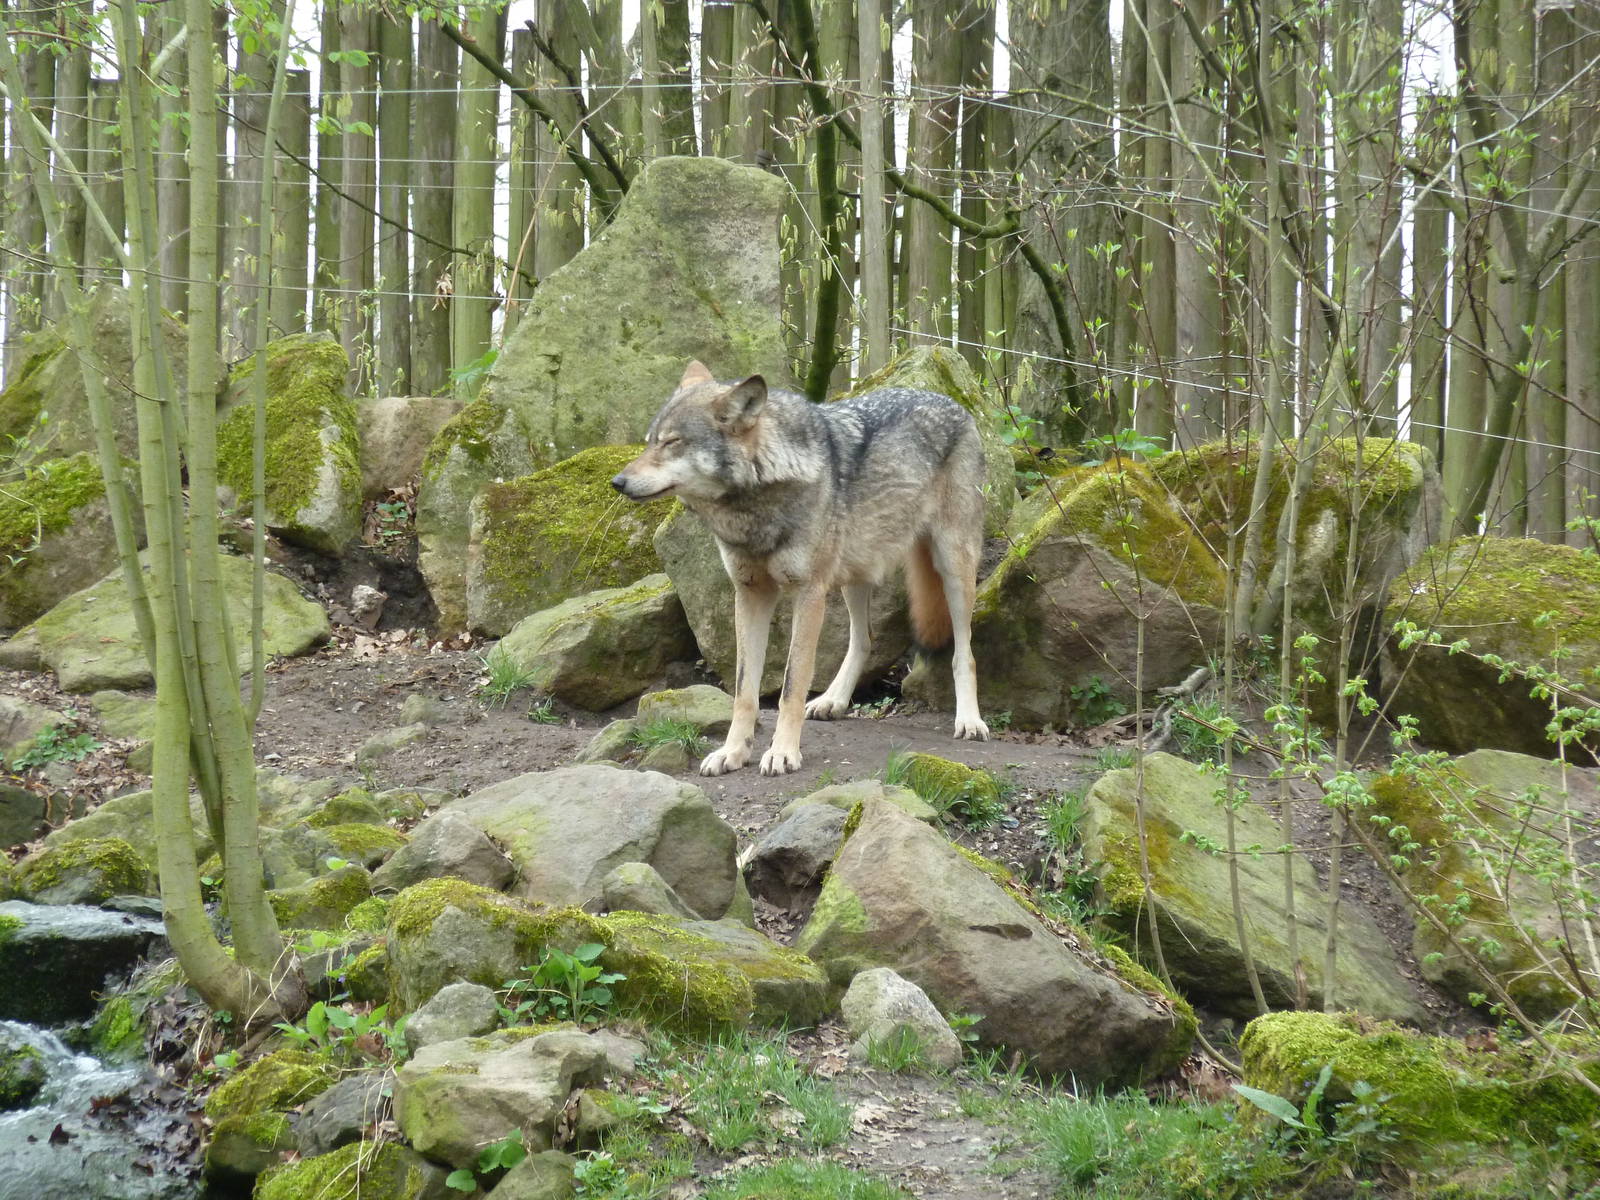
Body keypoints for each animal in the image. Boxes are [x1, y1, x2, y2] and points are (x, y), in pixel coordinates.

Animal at [611, 361, 989, 777]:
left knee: (965, 652)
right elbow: (744, 691)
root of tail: (953, 401)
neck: (759, 498)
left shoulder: (808, 594)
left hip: (952, 567)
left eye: (672, 442)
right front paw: (733, 752)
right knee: (864, 639)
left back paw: (970, 721)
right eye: (649, 441)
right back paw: (833, 701)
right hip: (853, 576)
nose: (617, 482)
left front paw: (782, 752)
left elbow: (791, 685)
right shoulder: (750, 594)